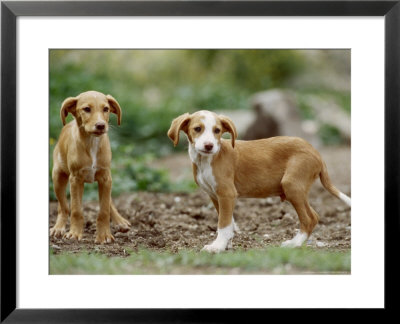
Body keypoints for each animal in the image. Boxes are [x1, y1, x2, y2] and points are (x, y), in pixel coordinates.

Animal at [50, 90, 130, 243]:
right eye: (87, 109)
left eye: (106, 109)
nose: (101, 125)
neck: (92, 142)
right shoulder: (75, 180)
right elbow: (76, 210)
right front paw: (74, 233)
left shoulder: (105, 178)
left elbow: (104, 210)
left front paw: (104, 235)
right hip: (57, 177)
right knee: (63, 207)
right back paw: (58, 228)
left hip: (106, 181)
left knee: (109, 202)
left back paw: (120, 221)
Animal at [167, 110, 352, 253]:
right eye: (197, 129)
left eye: (217, 130)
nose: (209, 146)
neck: (206, 160)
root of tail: (315, 152)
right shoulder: (215, 196)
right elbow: (229, 222)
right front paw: (226, 244)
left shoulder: (227, 193)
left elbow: (223, 223)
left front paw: (217, 247)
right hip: (297, 189)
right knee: (314, 215)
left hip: (291, 185)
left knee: (309, 218)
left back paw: (294, 244)